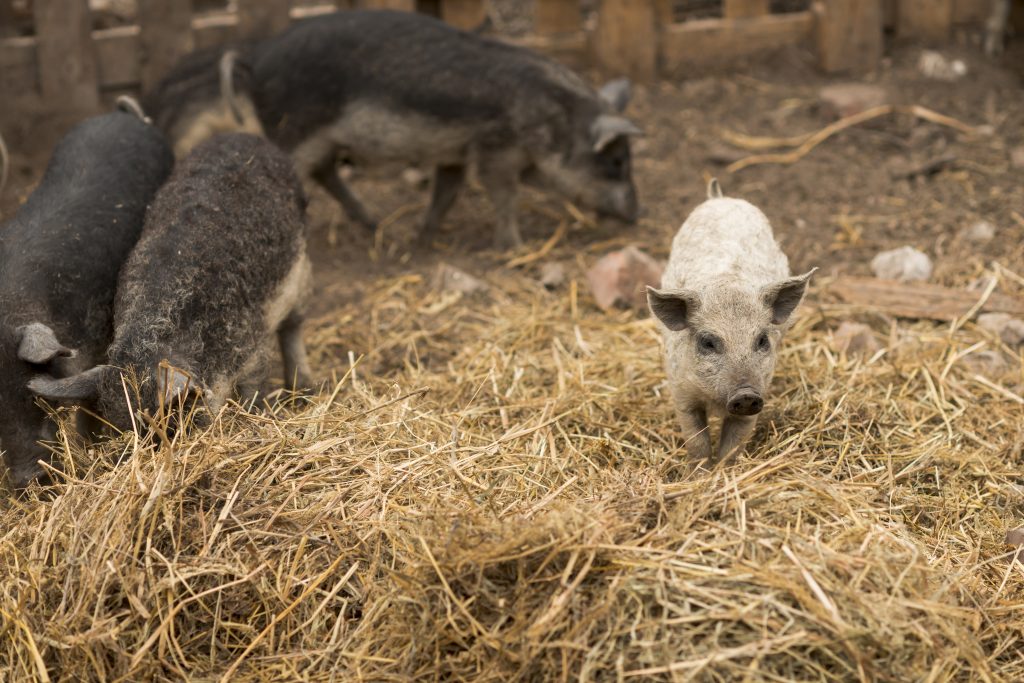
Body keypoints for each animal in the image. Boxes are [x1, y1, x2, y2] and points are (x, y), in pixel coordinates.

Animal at [29, 133, 313, 434]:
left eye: (176, 419)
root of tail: (246, 138)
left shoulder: (253, 344)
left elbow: (253, 386)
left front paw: (254, 417)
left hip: (302, 272)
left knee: (294, 325)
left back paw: (305, 391)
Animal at [646, 179, 816, 464]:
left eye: (762, 340)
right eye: (708, 342)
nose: (745, 394)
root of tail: (720, 197)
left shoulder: (761, 390)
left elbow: (734, 444)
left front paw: (725, 470)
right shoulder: (681, 393)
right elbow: (697, 442)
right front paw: (699, 472)